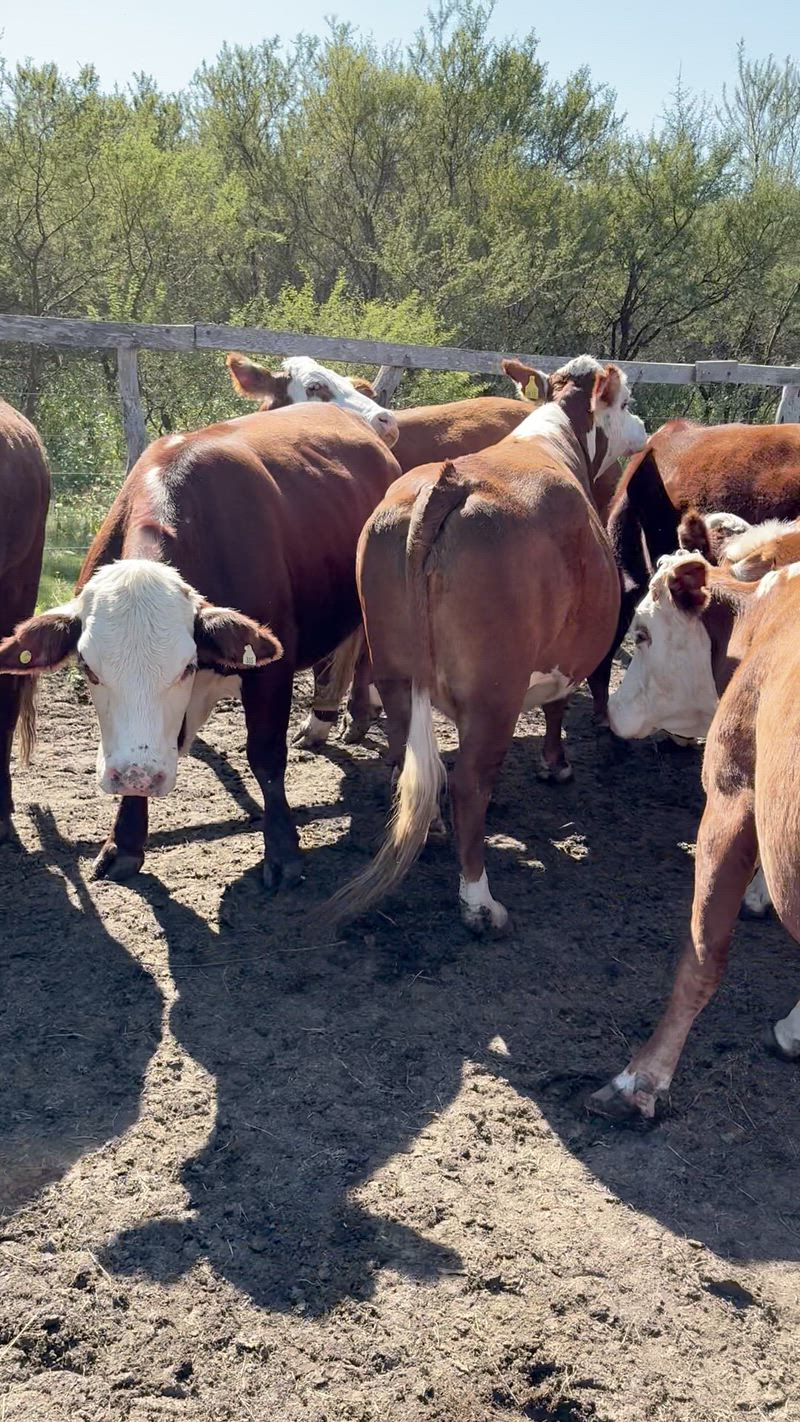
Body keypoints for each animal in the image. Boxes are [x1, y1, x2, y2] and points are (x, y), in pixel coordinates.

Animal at [0, 405, 400, 887]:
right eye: (88, 670)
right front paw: (124, 842)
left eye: (186, 667)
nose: (134, 775)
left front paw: (282, 850)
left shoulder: (270, 670)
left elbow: (266, 756)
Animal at [318, 355, 646, 934]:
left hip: (395, 668)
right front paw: (556, 765)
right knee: (470, 784)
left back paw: (431, 828)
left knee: (411, 757)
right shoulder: (566, 652)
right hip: (496, 693)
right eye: (625, 402)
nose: (645, 425)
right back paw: (479, 903)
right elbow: (558, 706)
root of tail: (448, 483)